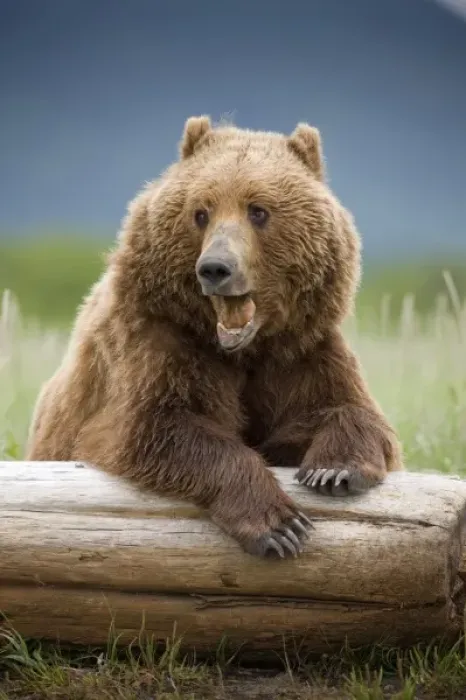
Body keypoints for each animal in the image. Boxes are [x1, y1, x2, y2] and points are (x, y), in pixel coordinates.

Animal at [26, 115, 403, 559]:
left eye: (258, 210)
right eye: (201, 212)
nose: (215, 268)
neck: (246, 349)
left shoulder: (301, 353)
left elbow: (349, 410)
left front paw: (334, 470)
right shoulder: (161, 344)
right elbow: (154, 426)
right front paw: (278, 525)